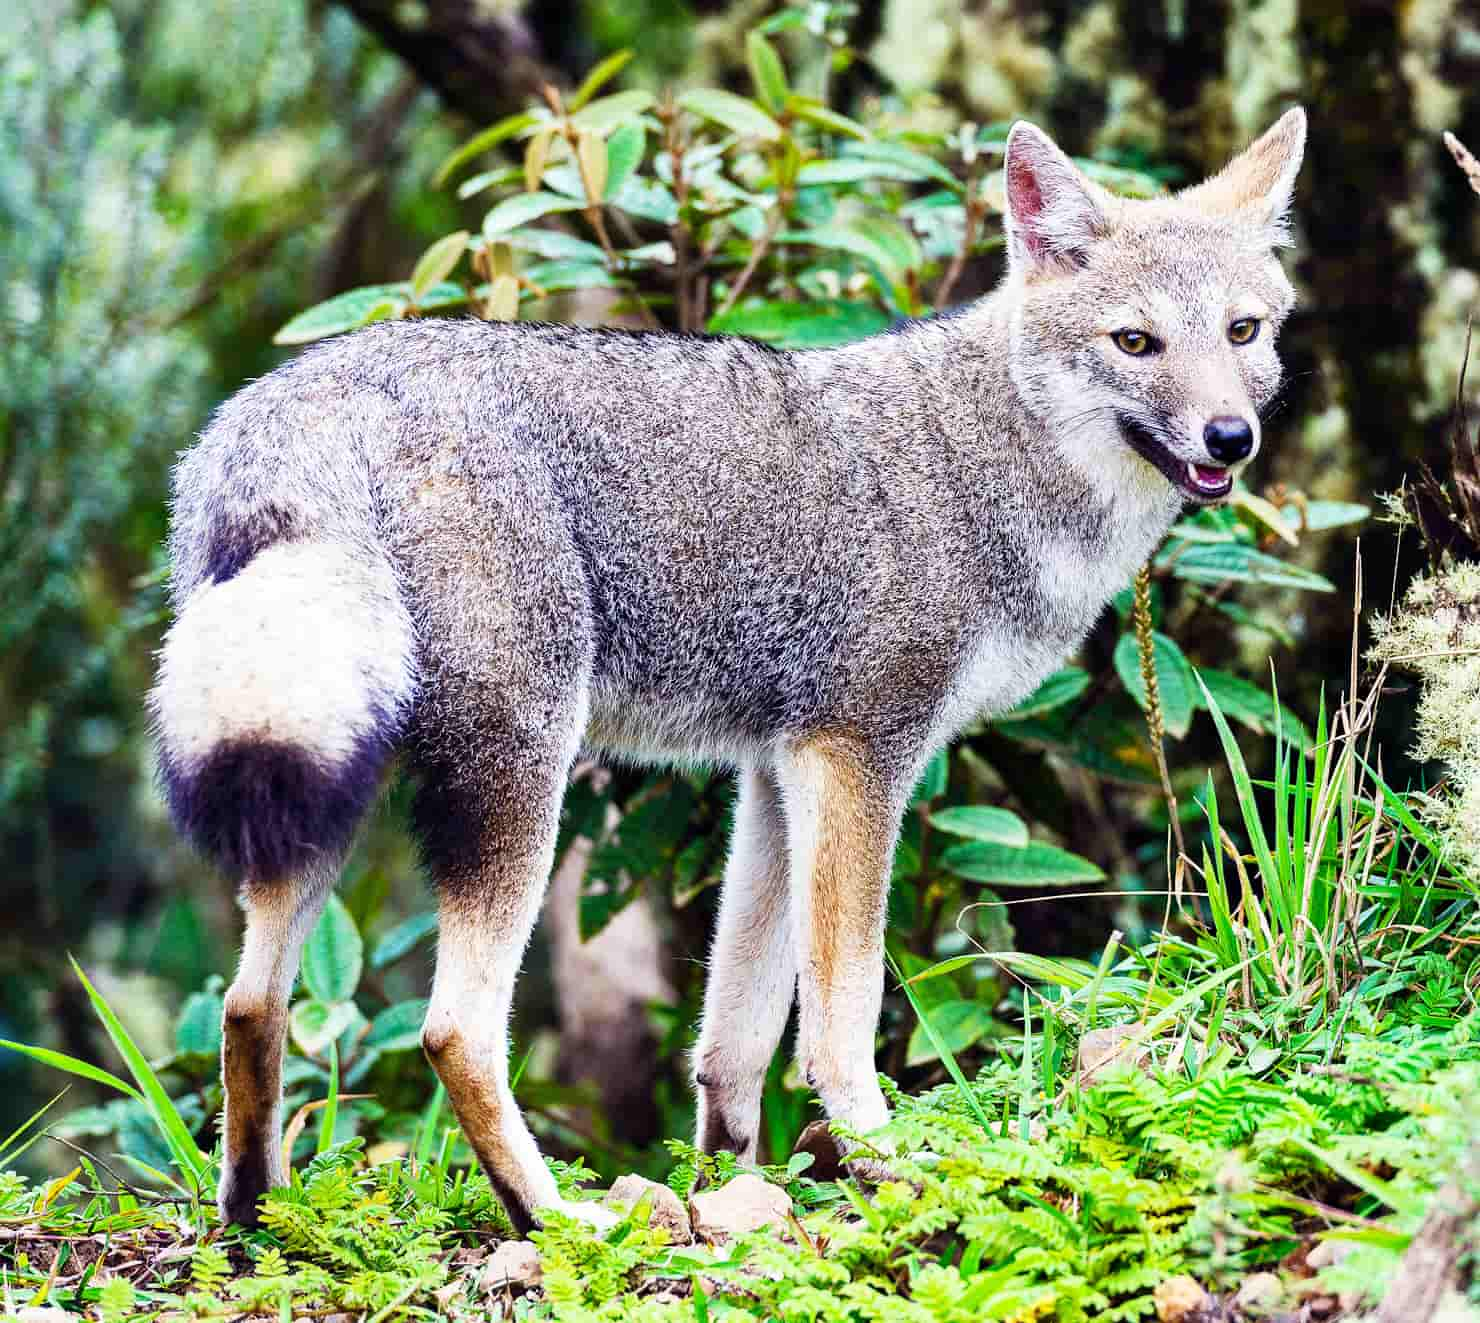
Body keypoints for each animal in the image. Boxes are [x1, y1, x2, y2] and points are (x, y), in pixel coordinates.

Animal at [153, 110, 1308, 1231]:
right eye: (1136, 342)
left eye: (1241, 332)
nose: (1231, 438)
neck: (986, 462)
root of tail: (297, 399)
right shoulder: (858, 759)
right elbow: (840, 1016)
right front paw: (891, 1165)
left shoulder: (771, 773)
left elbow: (734, 1038)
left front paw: (734, 1187)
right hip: (519, 782)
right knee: (453, 1031)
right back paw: (555, 1216)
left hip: (319, 801)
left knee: (249, 1007)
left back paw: (255, 1219)